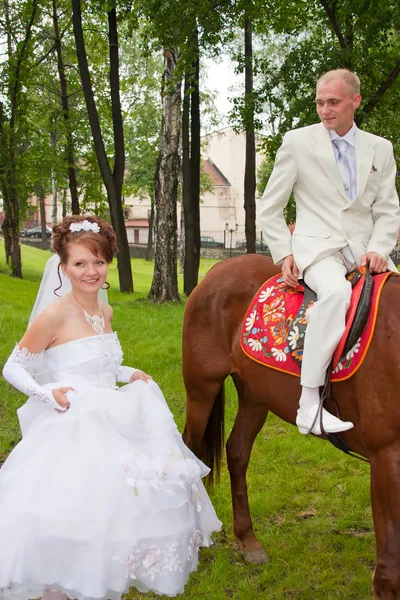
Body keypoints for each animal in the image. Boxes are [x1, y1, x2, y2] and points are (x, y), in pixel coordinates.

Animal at [184, 254, 400, 600]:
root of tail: (220, 267)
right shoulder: (387, 457)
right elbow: (390, 567)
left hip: (255, 395)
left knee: (237, 452)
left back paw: (248, 541)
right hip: (201, 389)